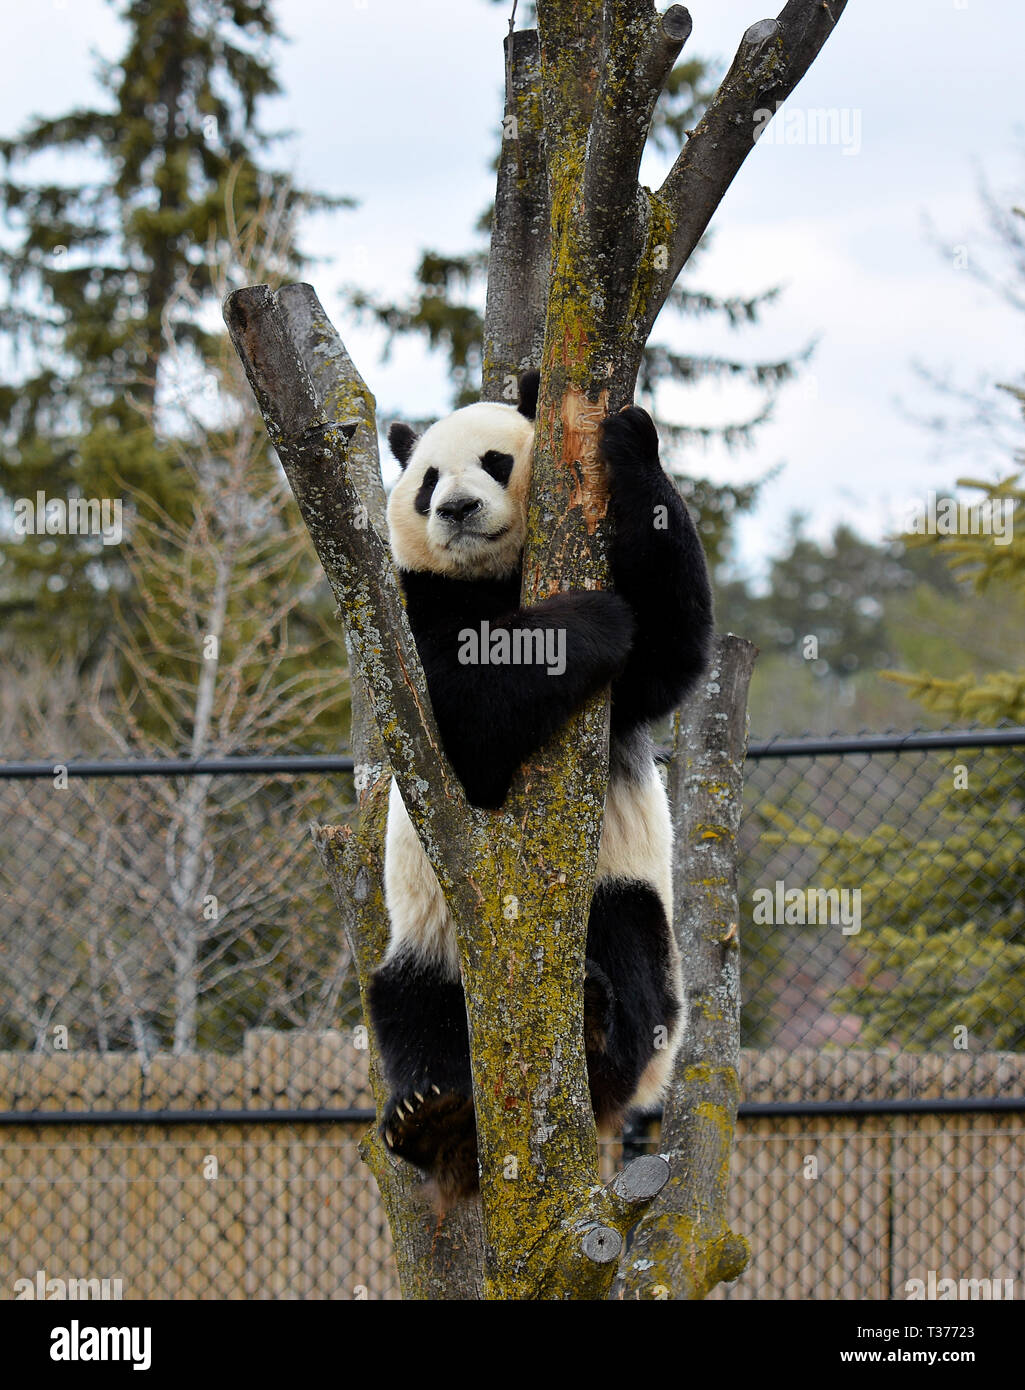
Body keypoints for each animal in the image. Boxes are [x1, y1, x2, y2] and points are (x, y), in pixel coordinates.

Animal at [367, 371, 713, 1206]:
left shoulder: (638, 685)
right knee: (404, 1005)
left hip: (625, 911)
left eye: (494, 462)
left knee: (629, 941)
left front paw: (628, 438)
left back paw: (594, 1030)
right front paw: (585, 622)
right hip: (431, 944)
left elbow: (670, 646)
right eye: (427, 481)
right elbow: (459, 711)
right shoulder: (407, 625)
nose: (457, 510)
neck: (496, 582)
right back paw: (429, 1116)